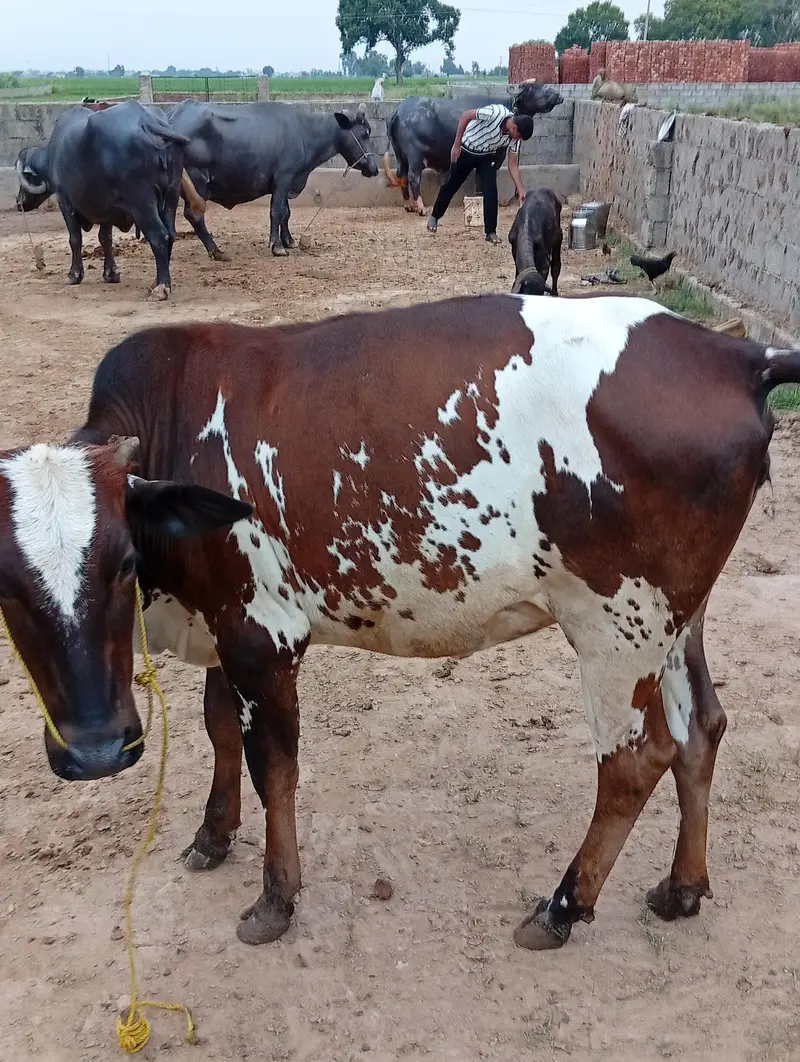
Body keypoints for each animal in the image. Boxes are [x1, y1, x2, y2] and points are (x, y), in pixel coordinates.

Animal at [2, 294, 797, 953]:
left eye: (124, 561)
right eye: (5, 587)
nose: (97, 752)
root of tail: (732, 354)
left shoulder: (263, 635)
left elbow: (273, 766)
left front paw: (275, 899)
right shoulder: (225, 624)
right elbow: (219, 726)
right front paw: (213, 834)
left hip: (617, 626)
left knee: (635, 761)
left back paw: (563, 908)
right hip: (677, 619)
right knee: (703, 729)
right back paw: (682, 888)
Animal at [14, 101, 196, 301]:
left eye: (24, 179)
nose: (19, 202)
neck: (53, 156)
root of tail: (148, 122)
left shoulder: (65, 201)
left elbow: (75, 239)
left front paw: (74, 275)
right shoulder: (107, 209)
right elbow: (105, 238)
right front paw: (111, 274)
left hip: (142, 202)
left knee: (159, 235)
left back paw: (161, 287)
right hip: (171, 195)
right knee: (170, 234)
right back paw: (157, 282)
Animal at [164, 99, 379, 260]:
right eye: (364, 133)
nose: (374, 168)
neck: (306, 132)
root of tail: (174, 117)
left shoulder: (286, 181)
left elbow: (286, 212)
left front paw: (289, 241)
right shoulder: (284, 177)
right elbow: (277, 211)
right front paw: (277, 246)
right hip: (197, 183)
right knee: (194, 215)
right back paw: (216, 251)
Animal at [382, 82, 563, 215]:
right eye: (533, 88)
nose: (557, 95)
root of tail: (398, 111)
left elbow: (478, 182)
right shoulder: (494, 158)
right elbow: (482, 181)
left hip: (400, 155)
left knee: (401, 174)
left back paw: (408, 205)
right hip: (415, 155)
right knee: (413, 177)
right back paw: (421, 207)